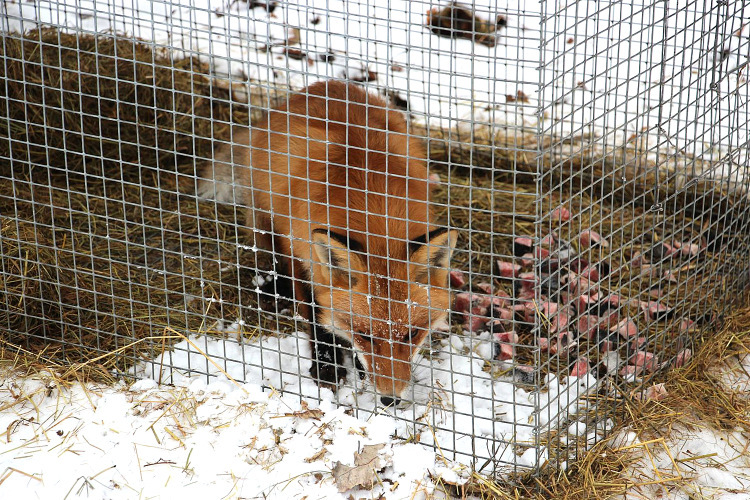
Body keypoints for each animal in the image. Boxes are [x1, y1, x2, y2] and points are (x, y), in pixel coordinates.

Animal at [200, 81, 456, 406]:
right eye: (365, 335)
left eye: (411, 334)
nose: (390, 399)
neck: (372, 205)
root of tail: (322, 85)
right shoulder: (300, 252)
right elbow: (317, 316)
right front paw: (326, 367)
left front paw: (359, 367)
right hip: (266, 219)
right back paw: (272, 287)